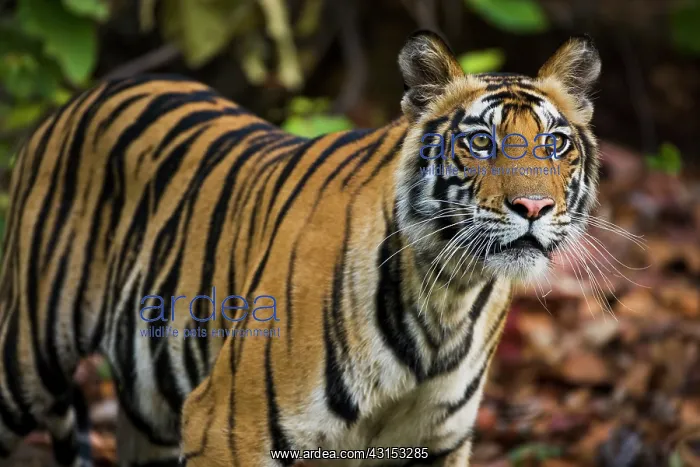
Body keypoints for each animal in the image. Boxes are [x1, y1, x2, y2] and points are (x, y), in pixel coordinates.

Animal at [0, 30, 600, 467]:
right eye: (480, 141)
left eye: (555, 144)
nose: (533, 207)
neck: (448, 294)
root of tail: (85, 95)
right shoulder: (227, 426)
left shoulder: (437, 441)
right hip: (26, 364)